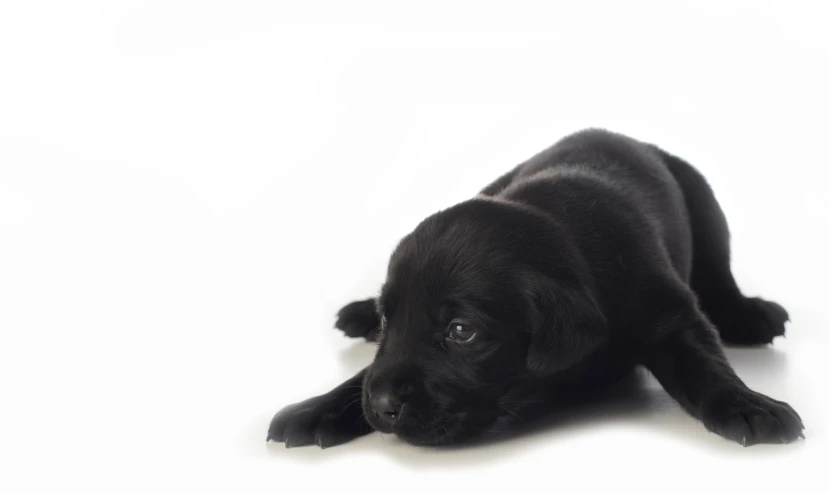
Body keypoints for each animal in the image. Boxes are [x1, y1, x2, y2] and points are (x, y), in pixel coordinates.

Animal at [266, 129, 804, 448]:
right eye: (387, 318)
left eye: (461, 331)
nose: (381, 407)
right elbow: (362, 373)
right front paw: (318, 408)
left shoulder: (668, 312)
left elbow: (705, 366)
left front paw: (749, 404)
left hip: (706, 206)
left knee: (721, 277)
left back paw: (750, 314)